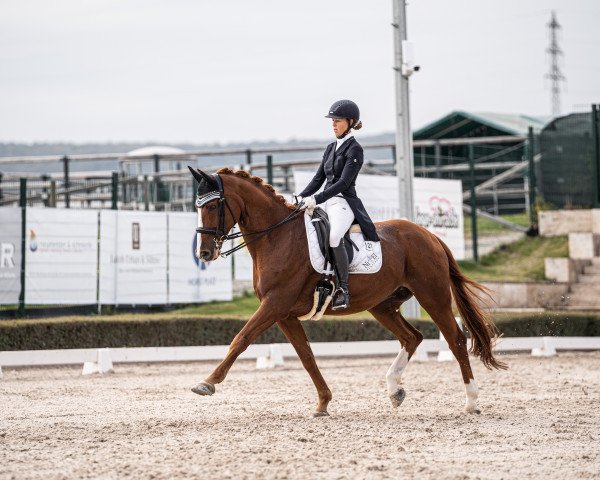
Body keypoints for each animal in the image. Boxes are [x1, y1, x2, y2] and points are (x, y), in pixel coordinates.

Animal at [189, 167, 506, 418]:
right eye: (197, 206)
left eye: (214, 206)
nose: (204, 253)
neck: (277, 237)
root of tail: (429, 235)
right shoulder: (284, 314)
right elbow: (306, 356)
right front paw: (323, 403)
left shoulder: (274, 304)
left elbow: (241, 339)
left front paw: (207, 383)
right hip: (382, 305)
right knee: (412, 337)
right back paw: (395, 390)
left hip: (433, 296)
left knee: (455, 340)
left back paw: (472, 402)